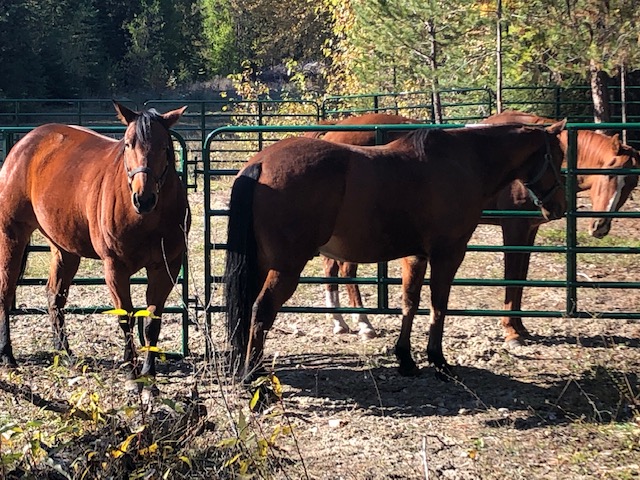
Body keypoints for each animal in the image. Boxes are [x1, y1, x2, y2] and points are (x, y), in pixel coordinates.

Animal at [0, 102, 190, 391]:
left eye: (164, 147)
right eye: (128, 144)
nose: (143, 198)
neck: (147, 218)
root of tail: (24, 143)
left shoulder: (165, 267)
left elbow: (152, 323)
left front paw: (150, 378)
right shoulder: (115, 268)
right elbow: (125, 317)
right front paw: (132, 377)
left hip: (64, 249)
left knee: (54, 296)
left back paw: (66, 355)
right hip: (12, 236)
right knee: (5, 291)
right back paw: (8, 357)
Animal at [225, 121, 567, 381]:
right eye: (559, 157)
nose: (559, 208)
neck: (465, 161)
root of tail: (260, 164)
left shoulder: (416, 256)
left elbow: (409, 304)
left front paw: (405, 358)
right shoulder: (448, 253)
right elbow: (438, 306)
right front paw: (438, 360)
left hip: (260, 265)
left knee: (246, 308)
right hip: (286, 268)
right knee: (261, 311)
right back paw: (252, 375)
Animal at [315, 112, 639, 346]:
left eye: (632, 183)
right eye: (611, 171)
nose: (600, 226)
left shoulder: (529, 231)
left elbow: (521, 278)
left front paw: (520, 327)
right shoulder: (514, 229)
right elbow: (512, 278)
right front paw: (511, 332)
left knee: (333, 269)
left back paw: (340, 322)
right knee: (346, 271)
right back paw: (363, 324)